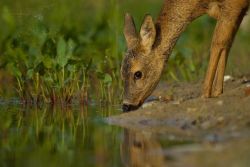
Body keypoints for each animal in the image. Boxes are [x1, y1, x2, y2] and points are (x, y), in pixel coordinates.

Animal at [120, 0, 248, 112]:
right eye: (121, 73)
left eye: (138, 74)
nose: (126, 106)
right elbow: (227, 43)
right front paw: (218, 92)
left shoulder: (233, 5)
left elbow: (217, 43)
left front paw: (205, 94)